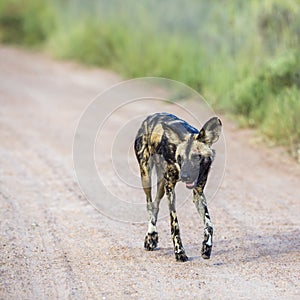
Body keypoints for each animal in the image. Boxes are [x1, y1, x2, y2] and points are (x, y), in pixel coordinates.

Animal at [135, 112, 221, 262]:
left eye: (197, 157)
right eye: (180, 158)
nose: (185, 176)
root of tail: (150, 117)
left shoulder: (198, 193)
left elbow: (209, 224)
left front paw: (207, 247)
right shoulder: (170, 189)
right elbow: (174, 225)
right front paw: (179, 252)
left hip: (161, 184)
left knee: (155, 204)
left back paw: (152, 237)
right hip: (146, 177)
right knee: (149, 204)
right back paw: (151, 235)